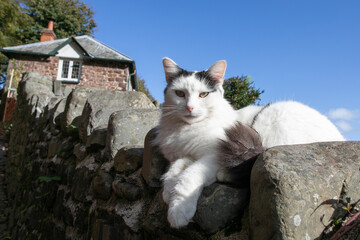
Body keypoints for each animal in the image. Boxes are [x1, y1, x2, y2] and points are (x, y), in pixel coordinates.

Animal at [153, 56, 344, 229]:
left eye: (203, 94)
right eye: (179, 93)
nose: (190, 107)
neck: (186, 129)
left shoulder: (214, 154)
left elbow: (189, 175)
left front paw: (178, 211)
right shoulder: (184, 155)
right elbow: (175, 168)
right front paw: (168, 191)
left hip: (268, 123)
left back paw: (223, 173)